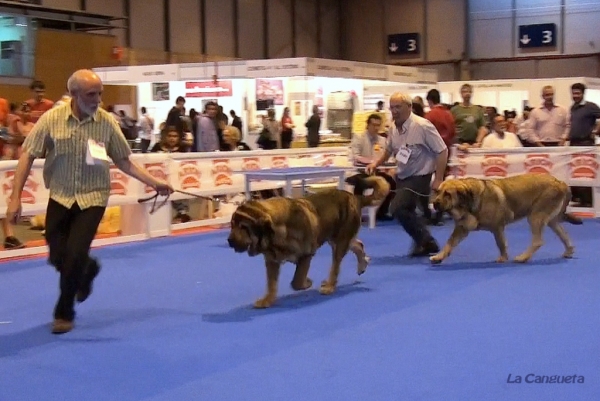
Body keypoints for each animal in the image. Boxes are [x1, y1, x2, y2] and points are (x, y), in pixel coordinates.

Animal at [227, 173, 392, 308]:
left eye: (243, 227)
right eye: (232, 225)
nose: (229, 240)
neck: (276, 229)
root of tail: (355, 198)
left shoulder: (306, 255)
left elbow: (296, 281)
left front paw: (307, 283)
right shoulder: (272, 261)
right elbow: (271, 284)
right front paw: (267, 300)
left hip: (340, 241)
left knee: (336, 266)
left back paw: (329, 286)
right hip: (335, 238)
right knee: (358, 244)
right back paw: (362, 265)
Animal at [432, 173, 580, 264]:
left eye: (447, 194)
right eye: (438, 192)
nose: (434, 203)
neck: (467, 202)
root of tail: (561, 182)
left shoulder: (497, 227)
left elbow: (501, 243)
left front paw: (503, 258)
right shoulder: (462, 228)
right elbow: (449, 243)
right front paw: (438, 256)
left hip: (535, 216)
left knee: (538, 241)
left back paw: (523, 258)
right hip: (550, 220)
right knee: (564, 235)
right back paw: (568, 251)